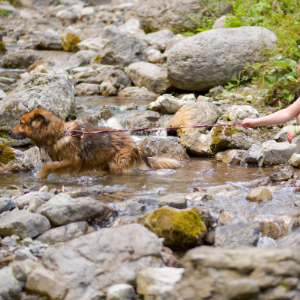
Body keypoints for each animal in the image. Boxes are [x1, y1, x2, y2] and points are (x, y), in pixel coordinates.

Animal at [8, 109, 182, 178]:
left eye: (21, 123)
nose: (8, 132)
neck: (59, 134)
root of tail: (135, 144)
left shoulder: (73, 160)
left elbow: (50, 165)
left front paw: (41, 175)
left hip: (118, 165)